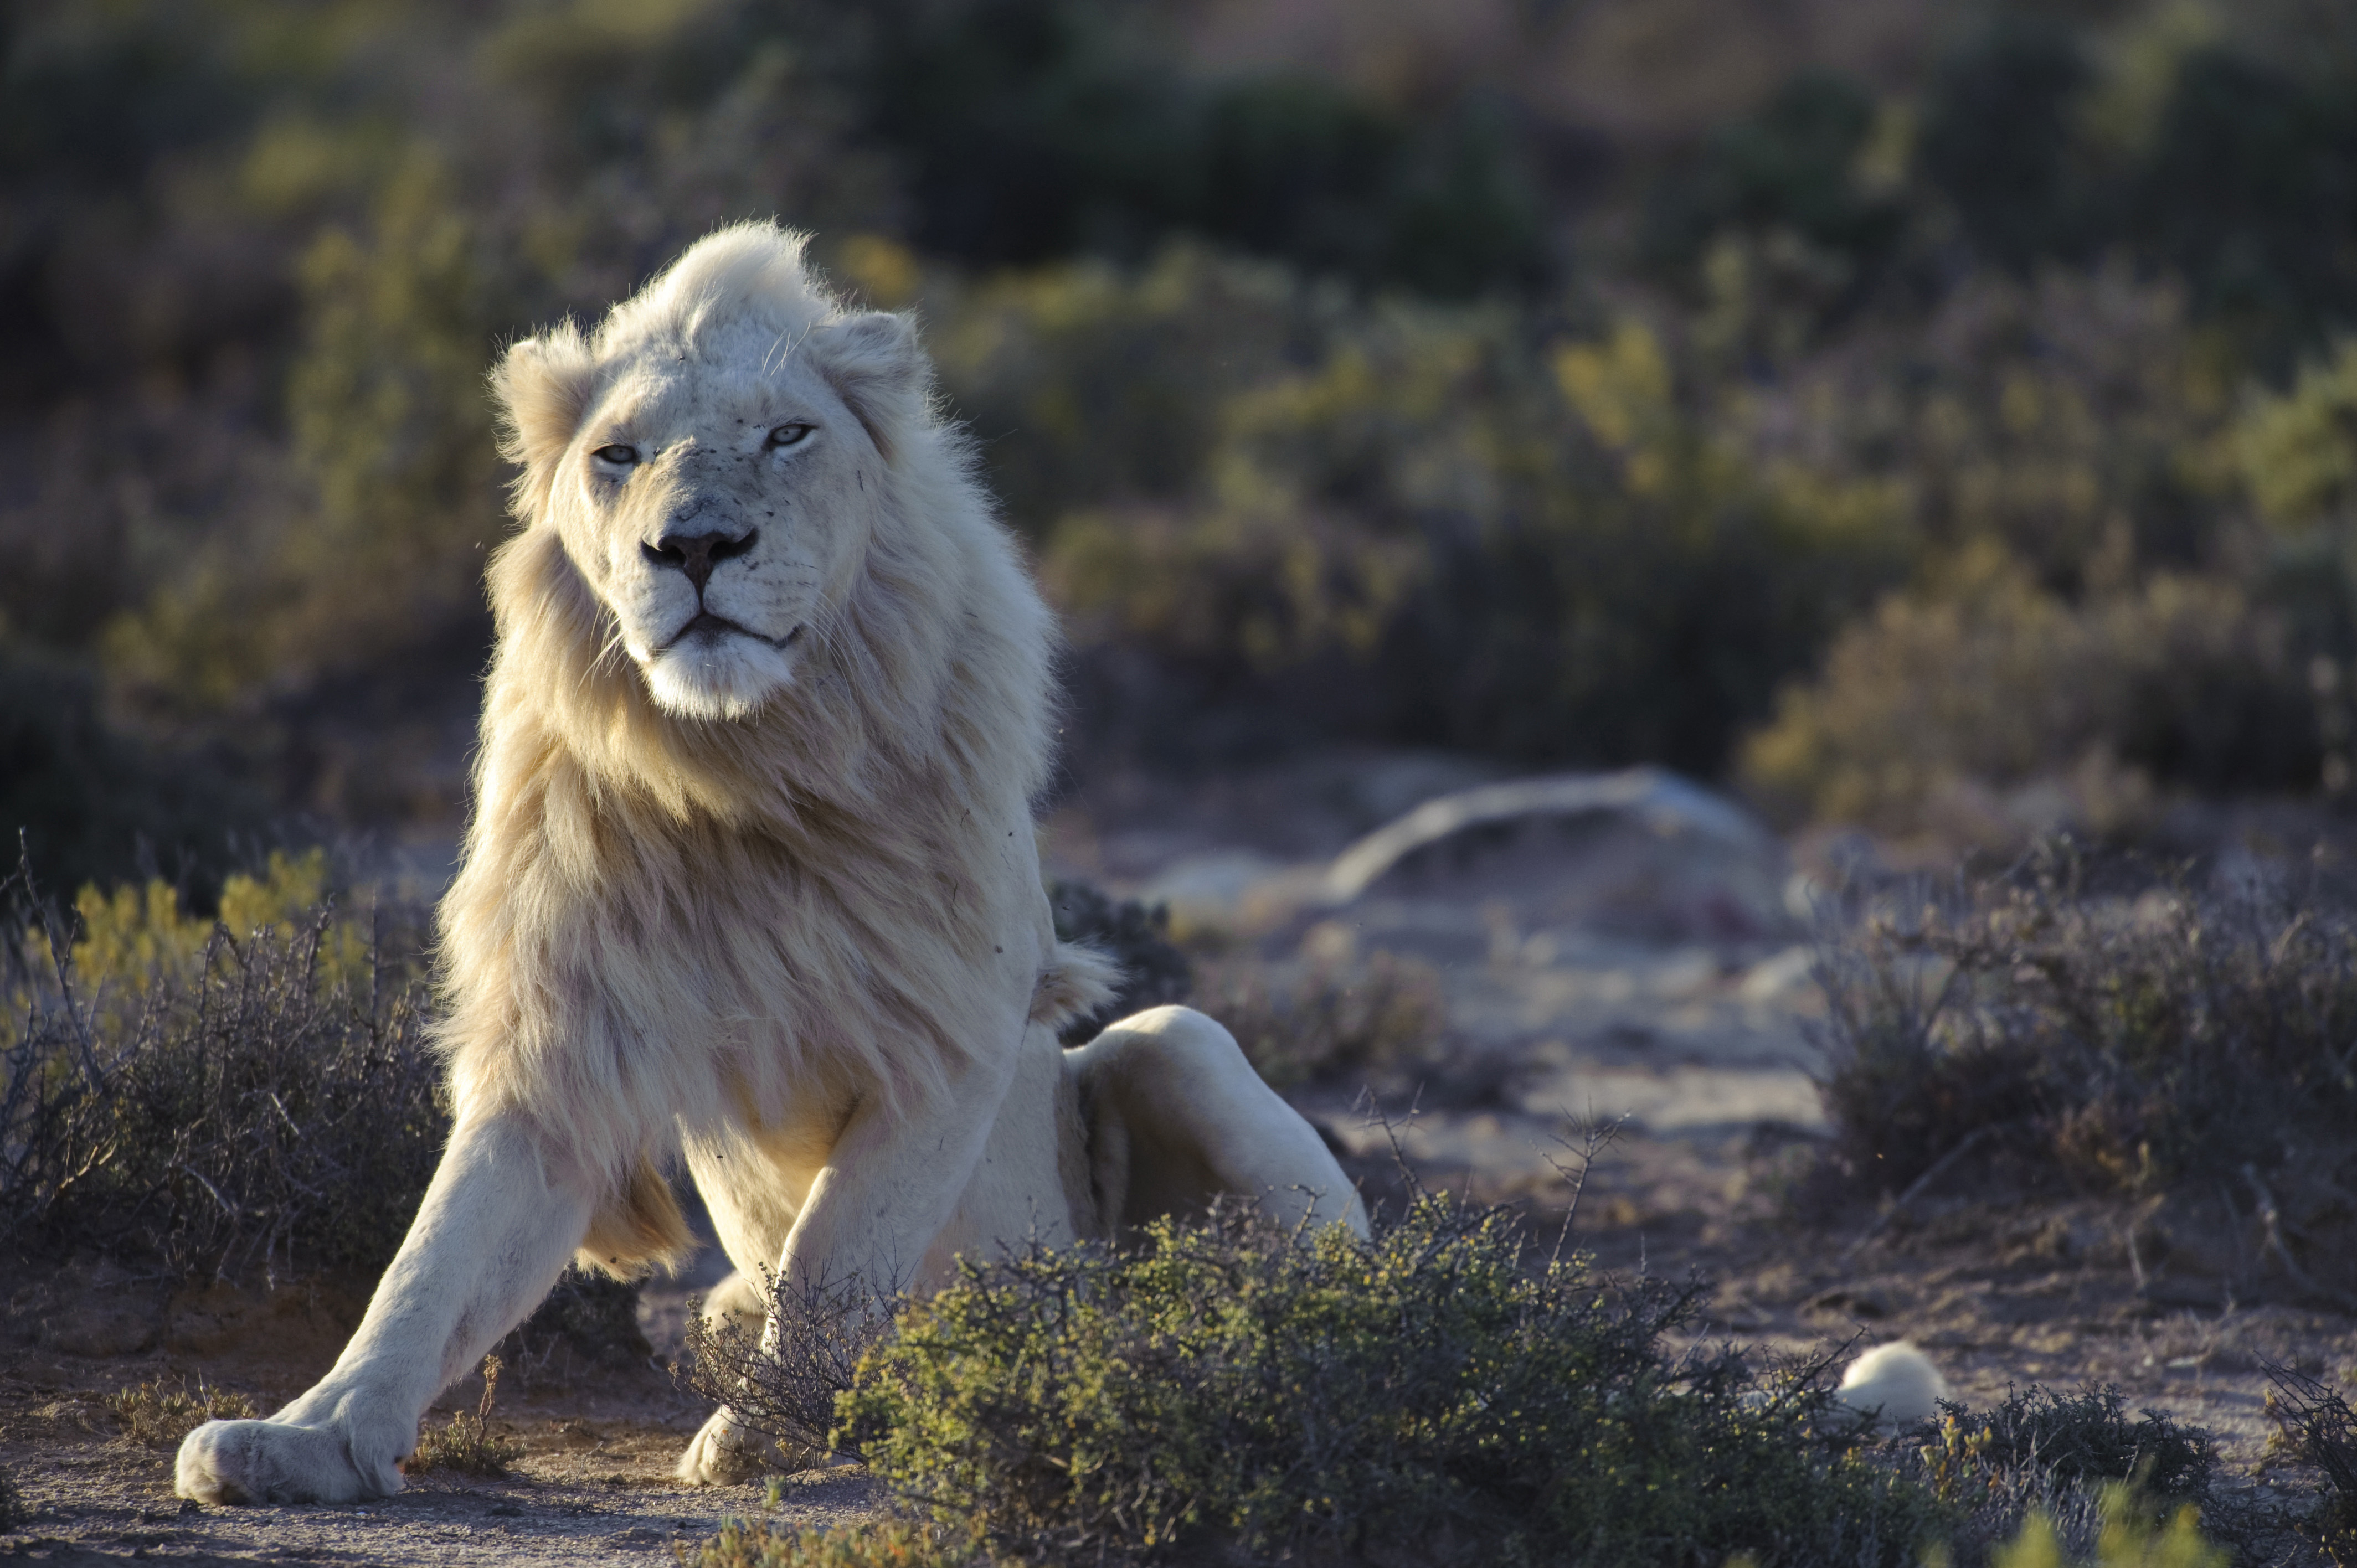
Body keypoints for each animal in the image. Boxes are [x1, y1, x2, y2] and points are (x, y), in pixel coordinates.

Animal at [175, 222, 1366, 1505]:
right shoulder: (563, 1028)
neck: (740, 764)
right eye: (618, 454)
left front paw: (760, 1435)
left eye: (788, 434)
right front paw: (304, 1437)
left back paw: (1190, 1352)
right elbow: (439, 1258)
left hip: (1176, 1049)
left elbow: (841, 1247)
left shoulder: (951, 1019)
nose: (694, 545)